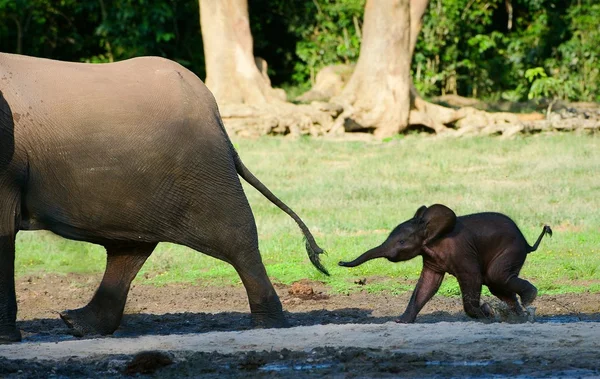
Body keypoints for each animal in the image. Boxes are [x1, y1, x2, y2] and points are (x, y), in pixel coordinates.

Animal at [0, 52, 328, 342]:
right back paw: (78, 325)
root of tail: (214, 112)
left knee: (238, 239)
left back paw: (268, 326)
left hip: (203, 167)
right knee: (129, 248)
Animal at [340, 205, 552, 324]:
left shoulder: (462, 251)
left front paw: (486, 314)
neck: (432, 232)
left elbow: (472, 278)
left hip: (511, 250)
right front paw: (401, 321)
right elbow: (427, 284)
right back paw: (519, 317)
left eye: (401, 242)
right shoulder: (431, 258)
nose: (340, 262)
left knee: (495, 277)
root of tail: (527, 244)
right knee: (497, 284)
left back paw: (528, 300)